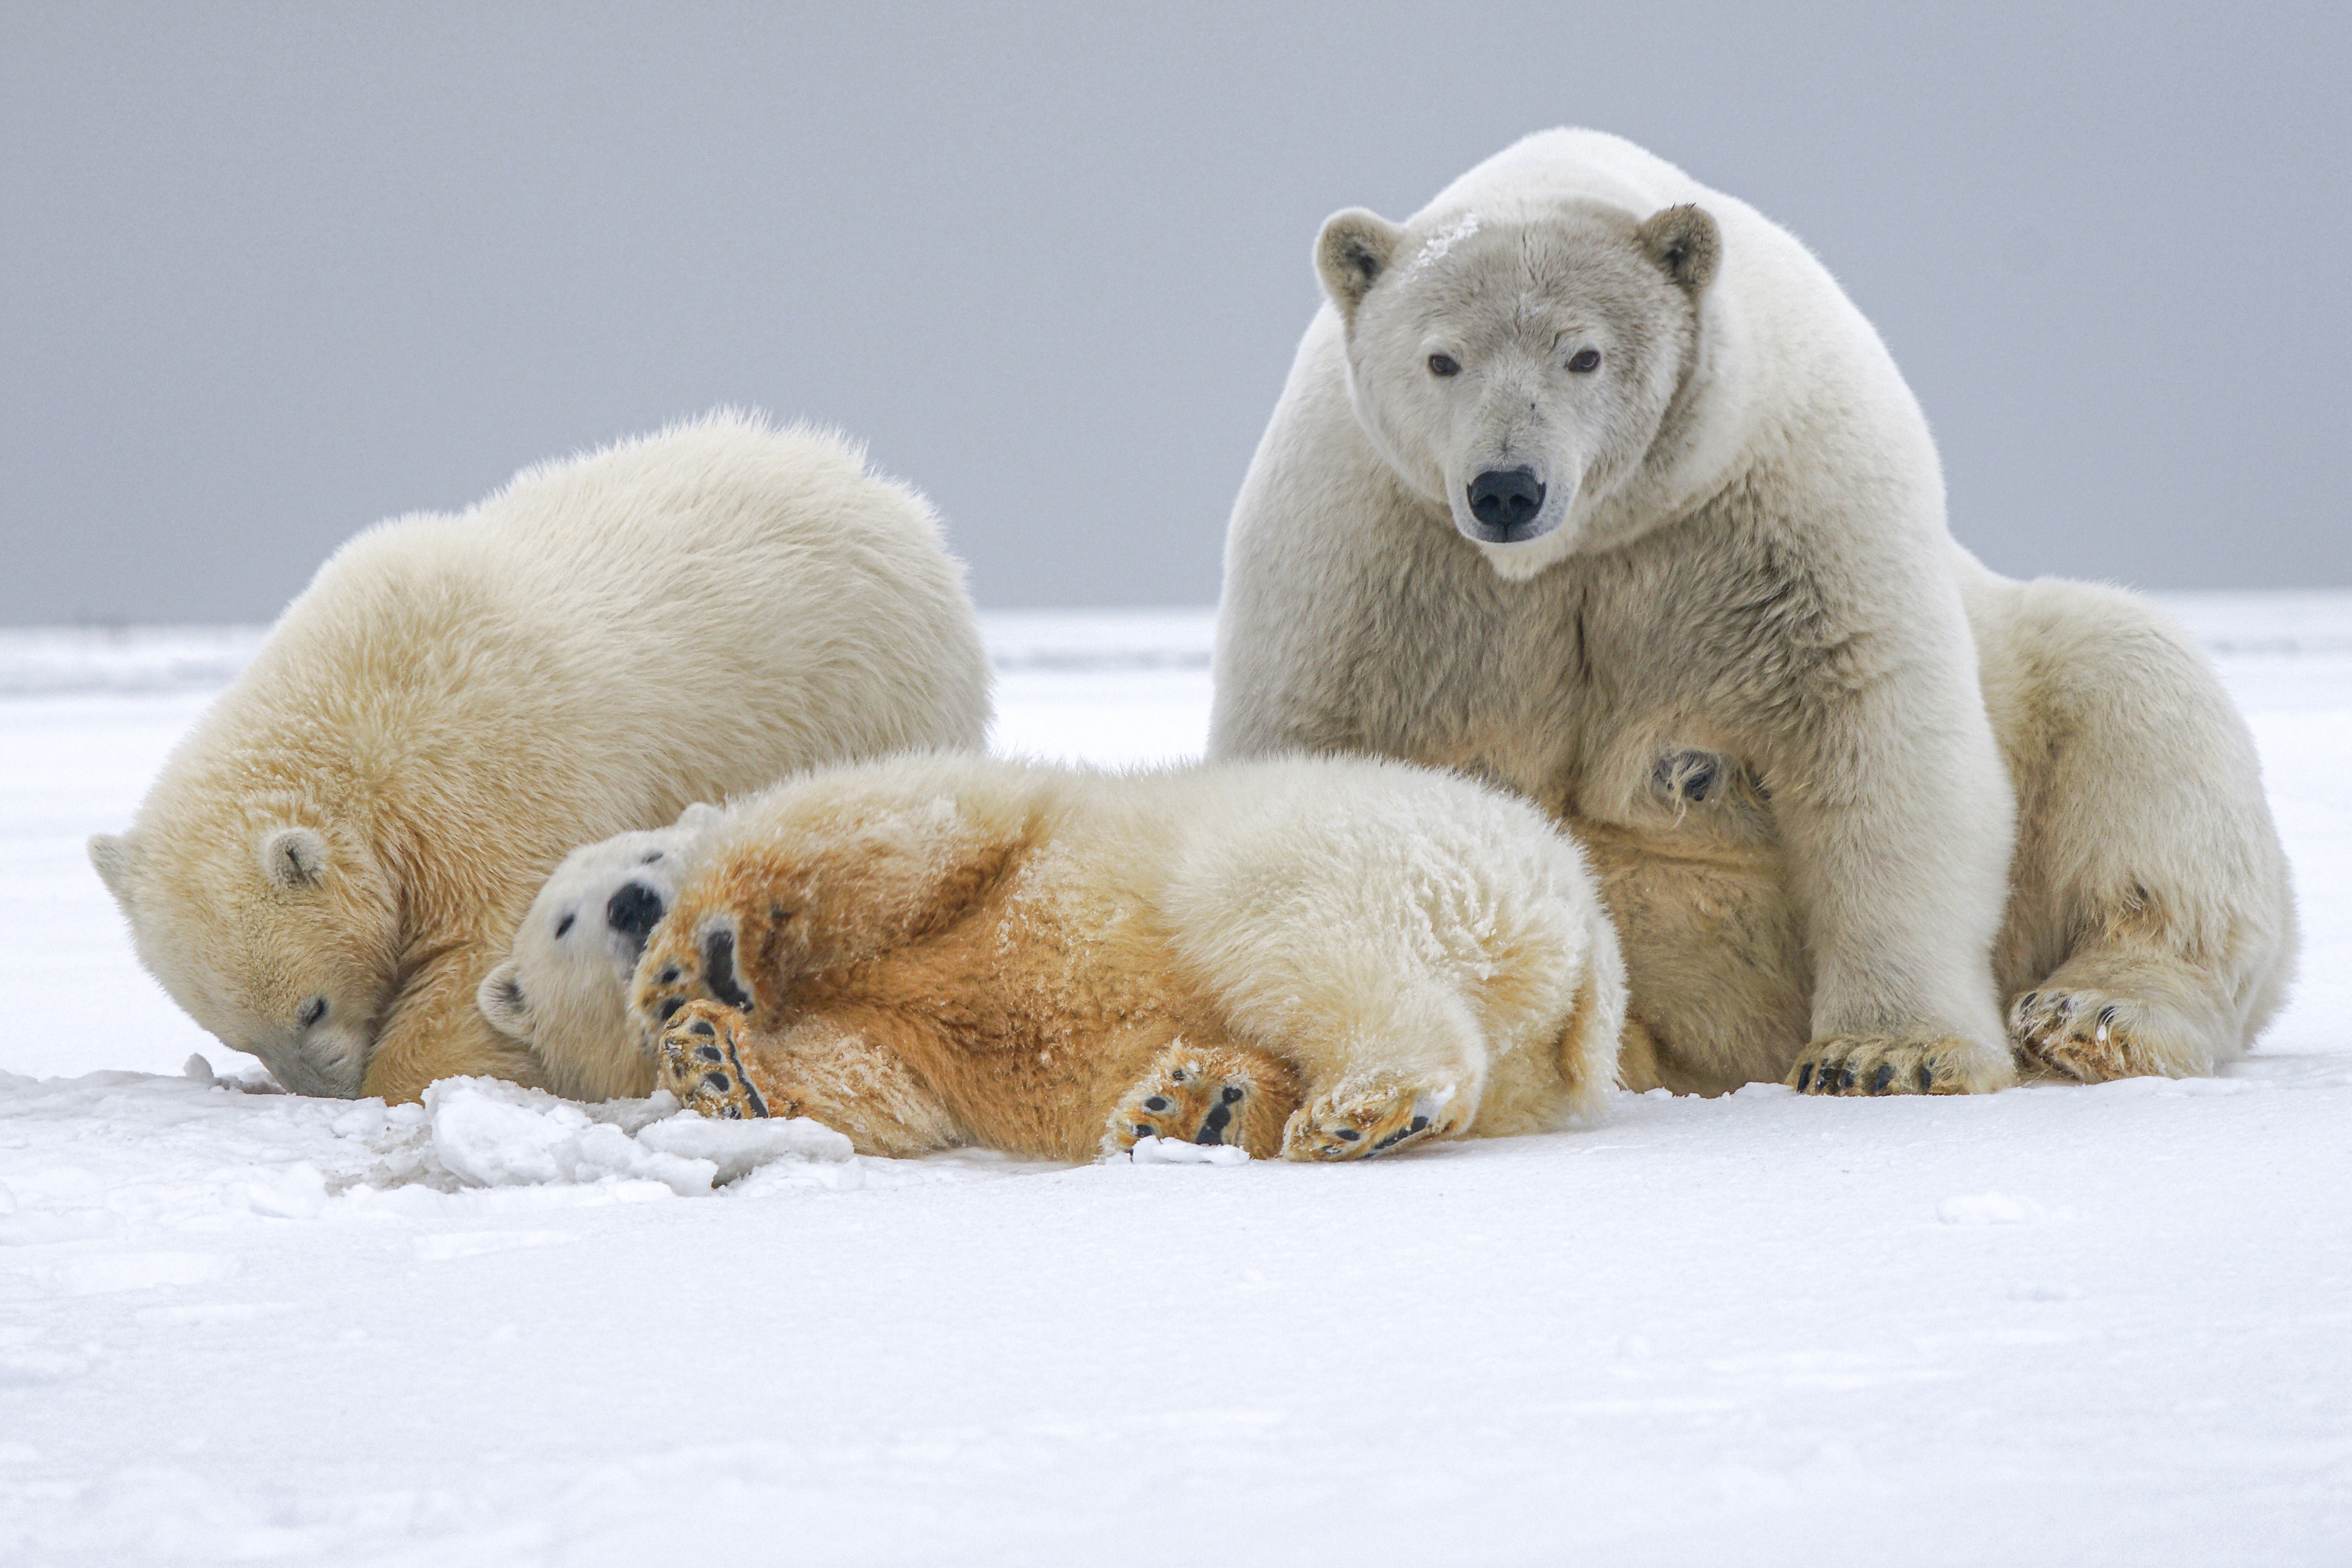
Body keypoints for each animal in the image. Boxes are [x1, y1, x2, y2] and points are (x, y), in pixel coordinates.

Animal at [89, 416, 992, 1104]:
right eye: (238, 1032)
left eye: (311, 1008)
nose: (325, 1091)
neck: (355, 711)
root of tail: (889, 496)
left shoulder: (485, 776)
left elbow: (487, 949)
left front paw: (417, 1080)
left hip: (868, 692)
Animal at [498, 752, 1637, 1161]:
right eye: (562, 919)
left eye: (649, 855)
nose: (638, 903)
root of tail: (1582, 916)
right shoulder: (885, 1034)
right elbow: (876, 1082)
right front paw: (715, 1063)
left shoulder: (995, 828)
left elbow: (894, 827)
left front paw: (699, 958)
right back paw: (1196, 1102)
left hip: (1353, 848)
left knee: (1291, 929)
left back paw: (1357, 1109)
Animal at [1213, 128, 2295, 1100]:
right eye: (1442, 359)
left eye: (1584, 355)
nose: (1507, 488)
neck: (1585, 543)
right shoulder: (1367, 559)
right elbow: (1311, 768)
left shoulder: (1786, 515)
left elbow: (1881, 744)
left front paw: (1885, 1054)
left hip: (2048, 680)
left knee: (2143, 730)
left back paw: (2092, 1013)